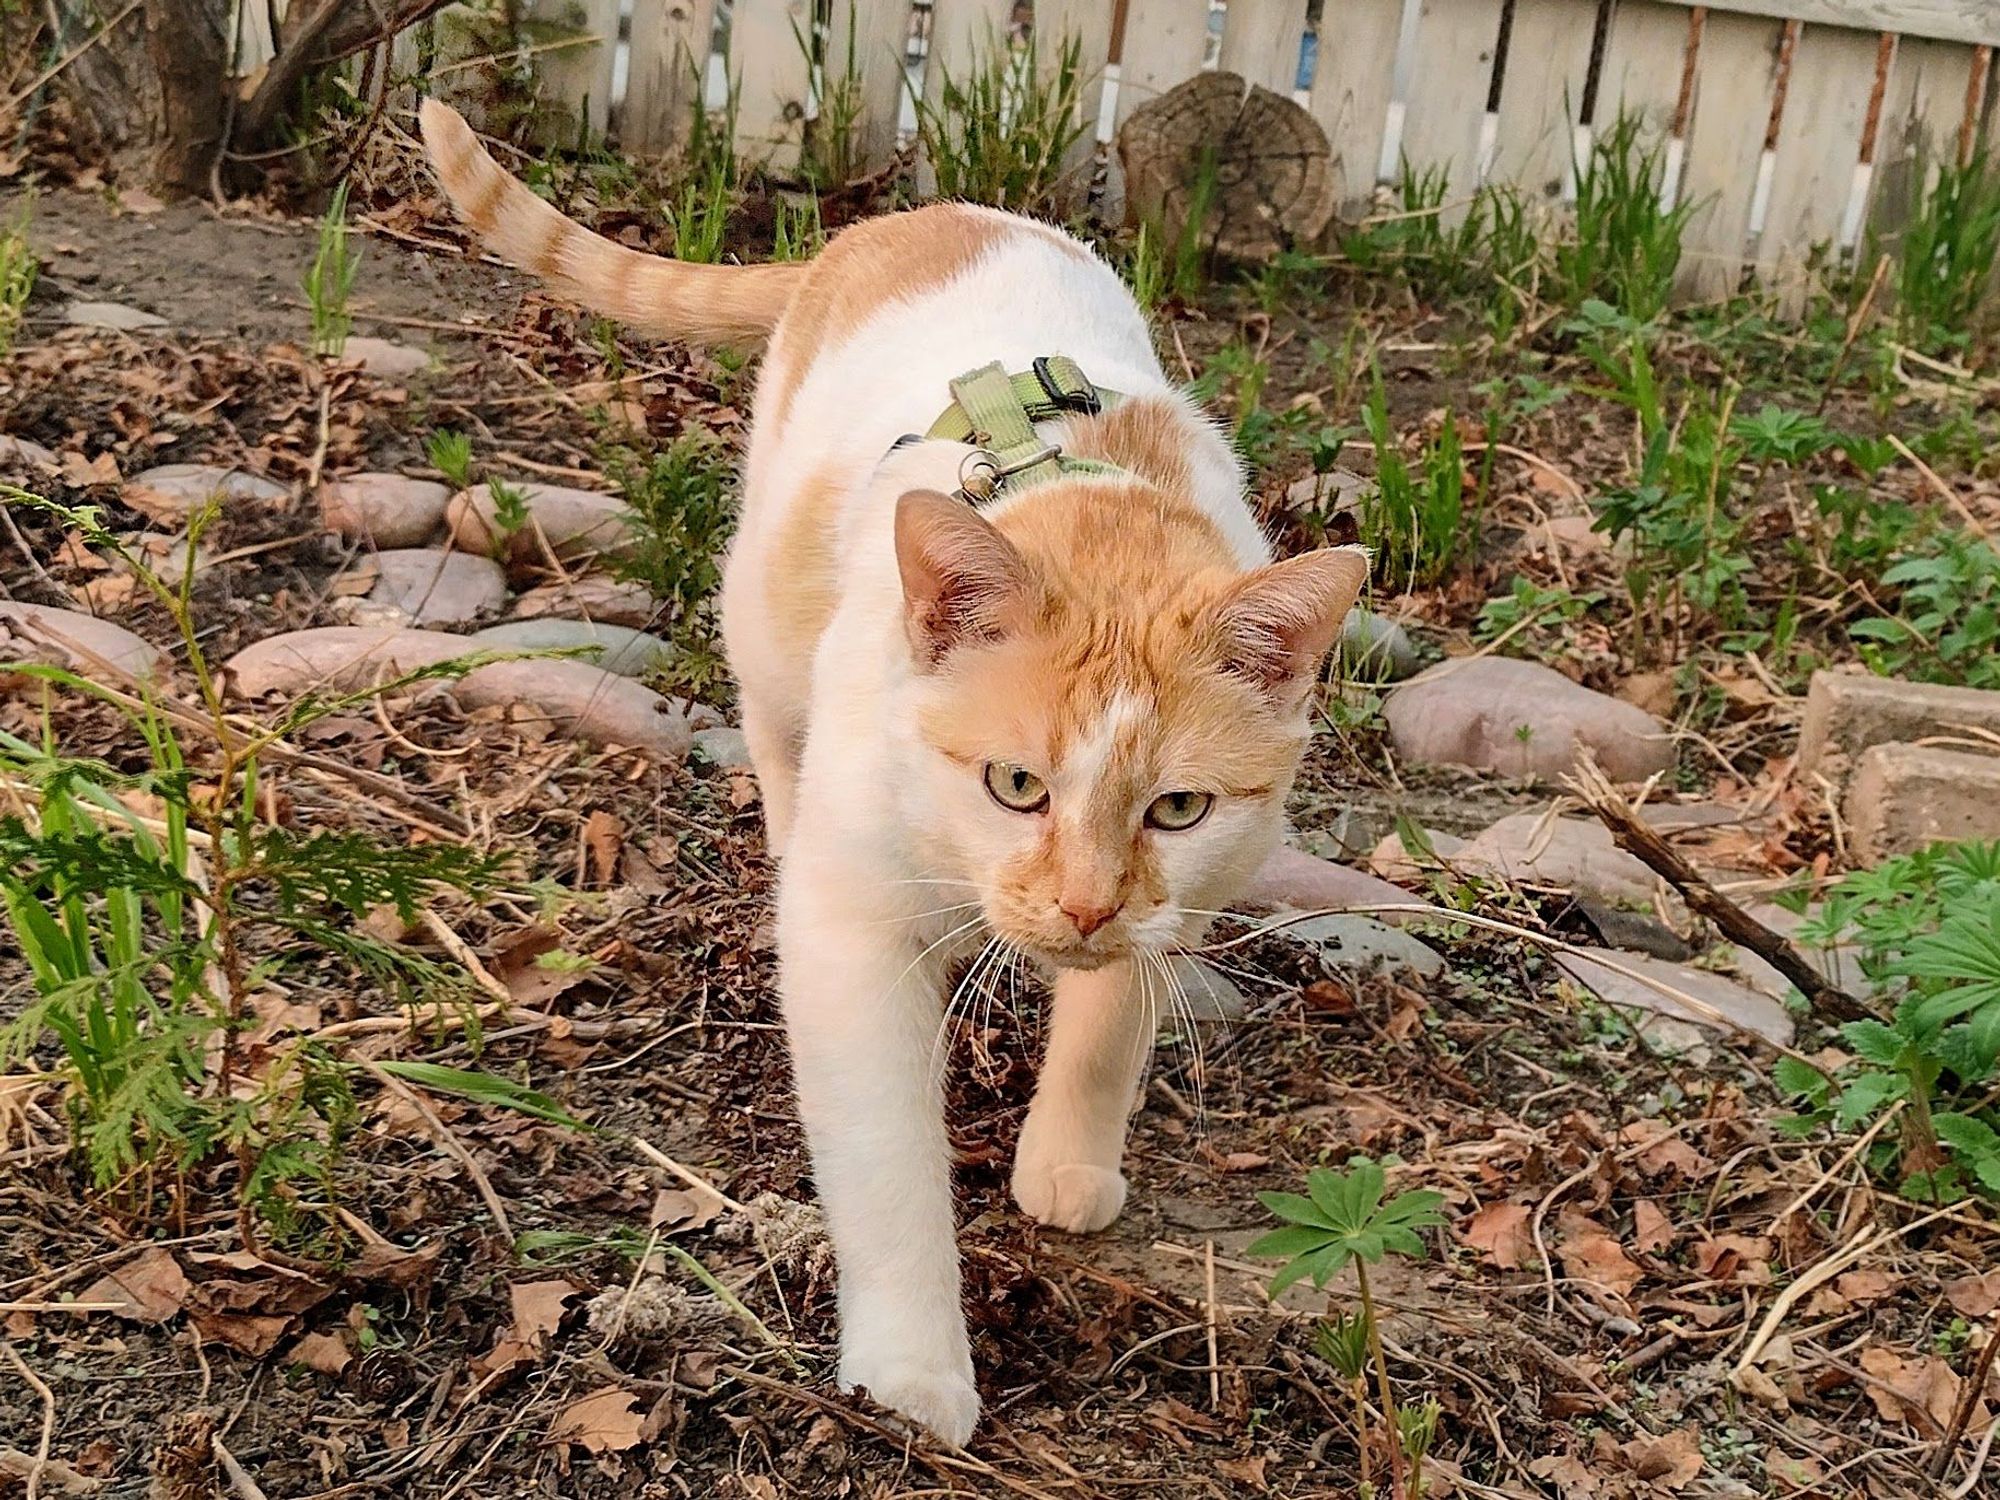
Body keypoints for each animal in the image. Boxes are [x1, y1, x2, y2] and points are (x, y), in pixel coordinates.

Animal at [416, 103, 1368, 1448]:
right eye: (1013, 785)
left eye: (1176, 808)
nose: (1083, 907)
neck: (1095, 512)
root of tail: (904, 216)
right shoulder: (851, 936)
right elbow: (887, 1171)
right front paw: (913, 1375)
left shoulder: (1176, 906)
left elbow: (1106, 1026)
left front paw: (1068, 1157)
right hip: (763, 604)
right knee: (769, 715)